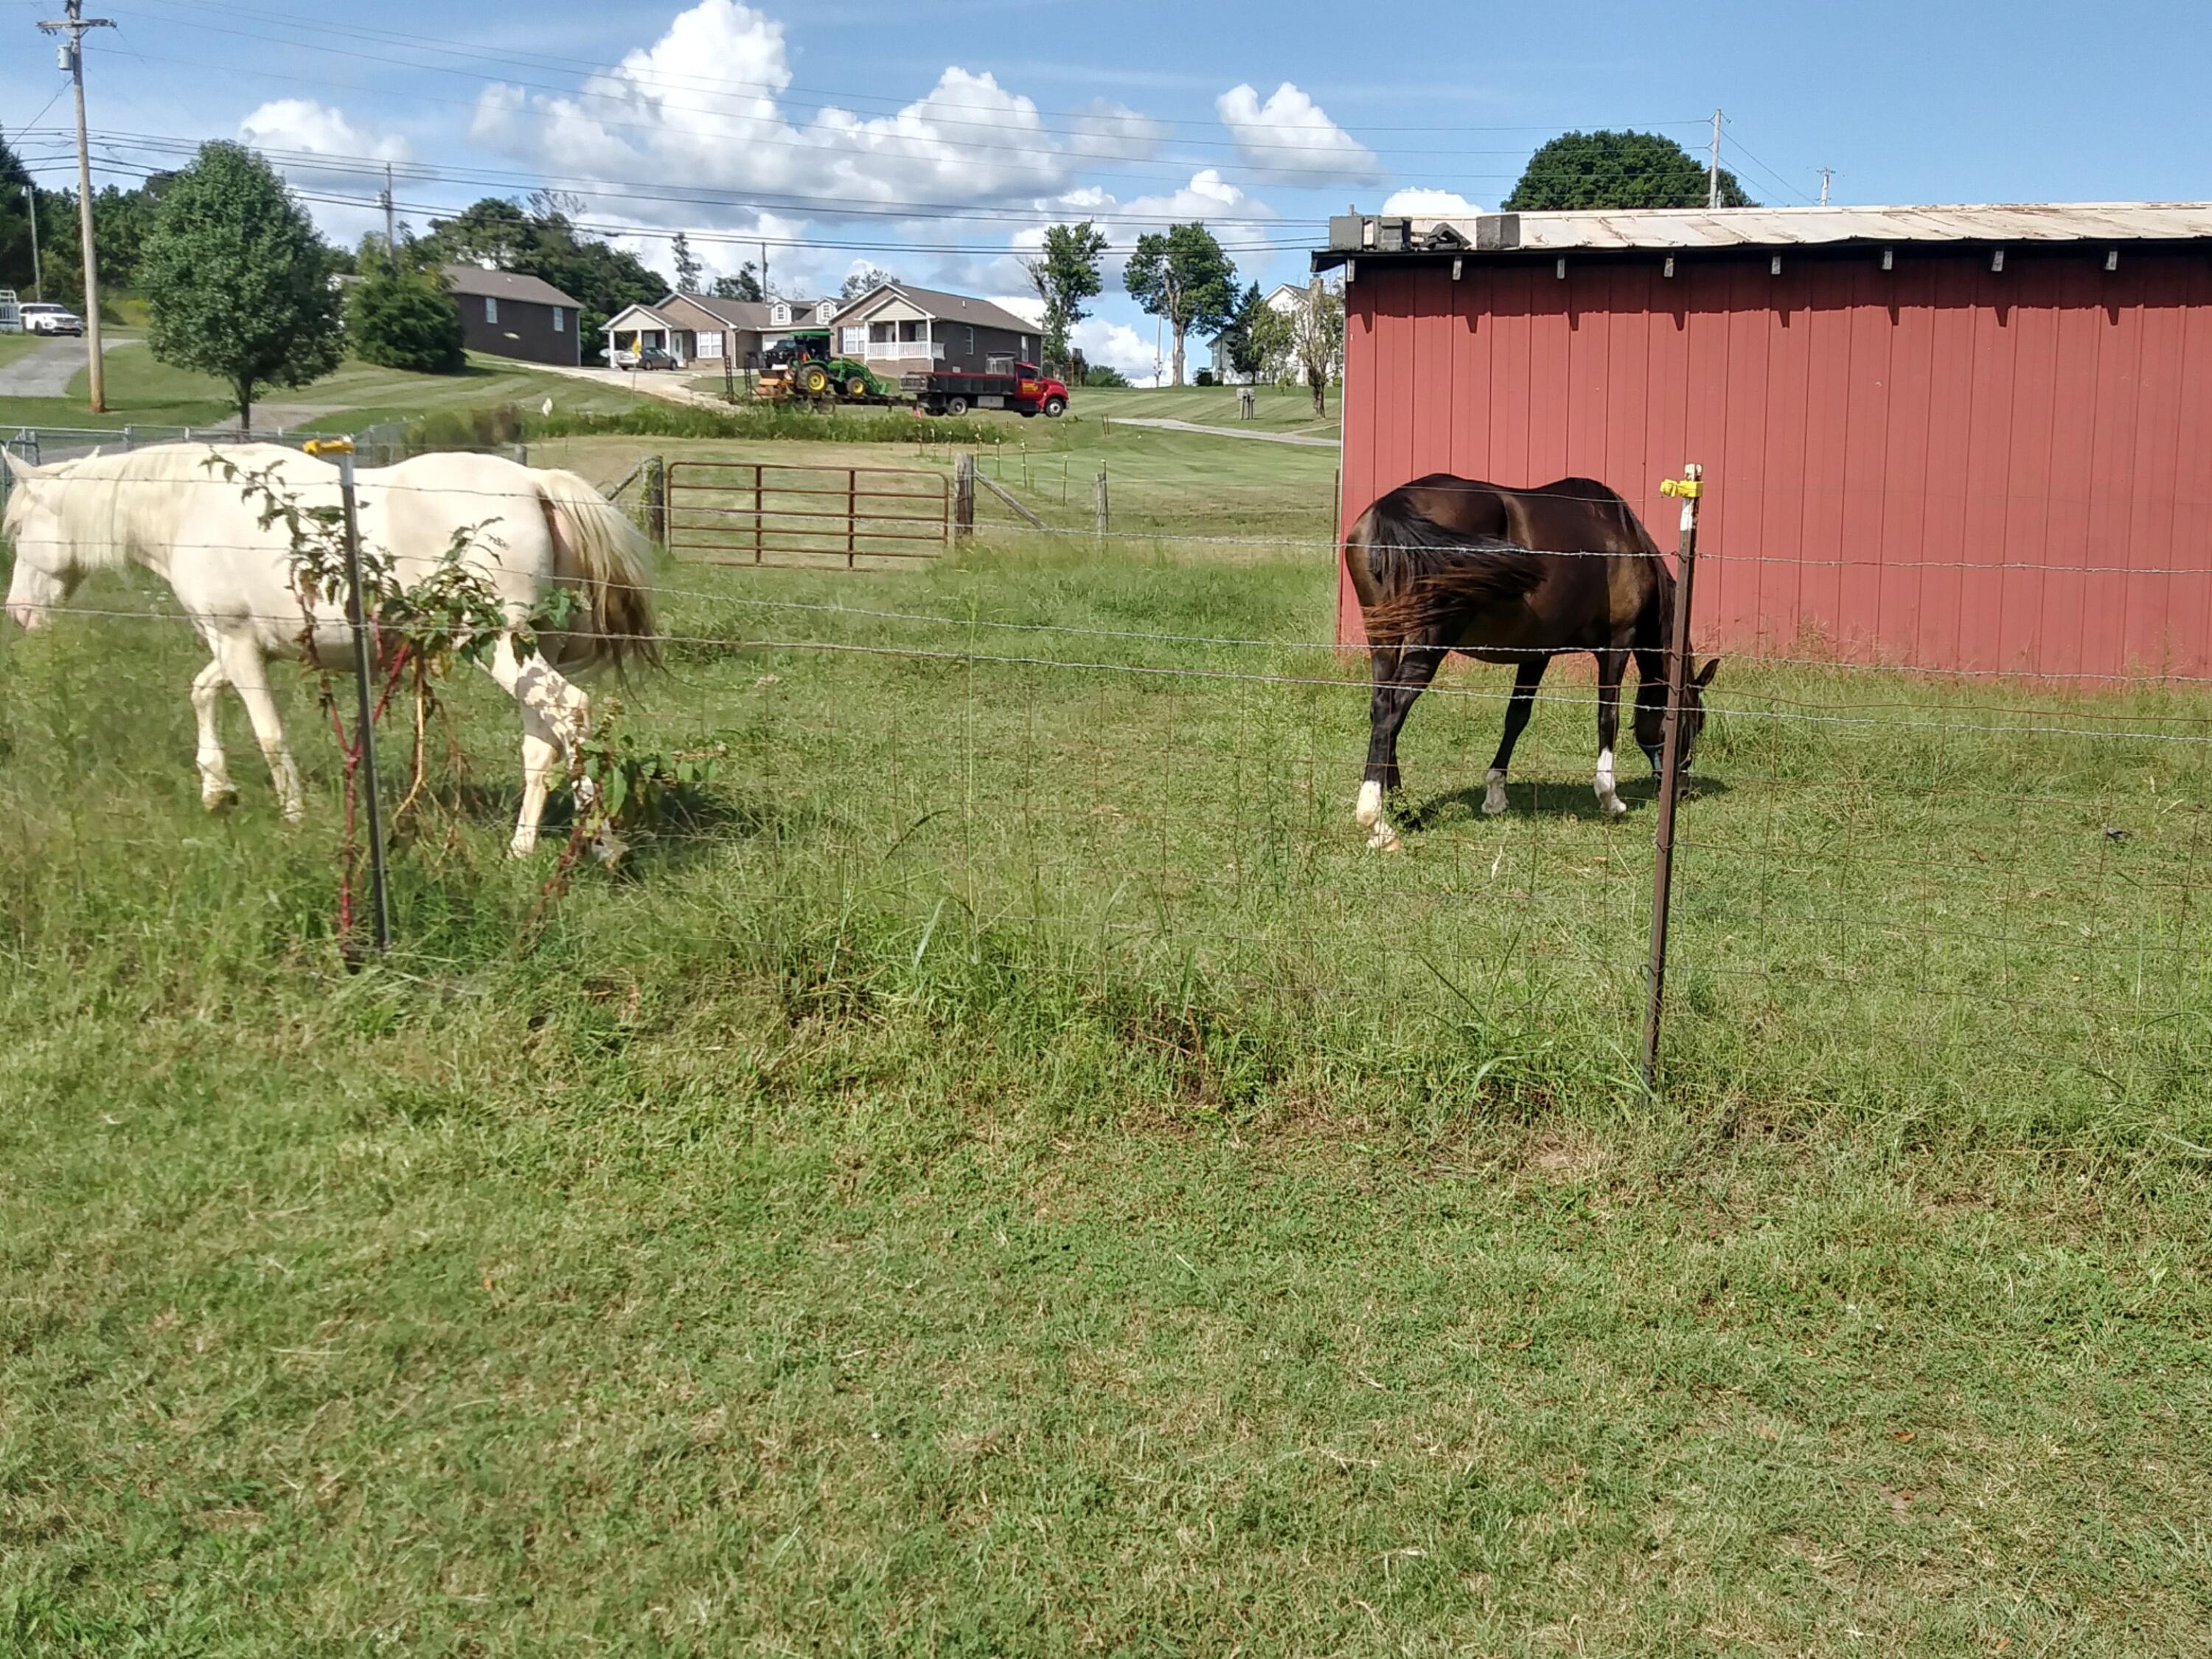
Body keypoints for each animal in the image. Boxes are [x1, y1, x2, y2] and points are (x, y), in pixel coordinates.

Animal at [3, 442, 659, 856]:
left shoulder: (236, 642)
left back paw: (602, 841)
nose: (18, 613)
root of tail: (534, 484)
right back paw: (521, 851)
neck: (190, 507)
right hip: (523, 648)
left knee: (571, 712)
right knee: (542, 744)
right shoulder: (242, 645)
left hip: (494, 643)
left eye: (16, 529)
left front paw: (291, 818)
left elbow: (268, 734)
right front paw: (216, 789)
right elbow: (201, 693)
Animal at [1344, 473, 1716, 852]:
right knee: (1393, 708)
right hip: (1430, 641)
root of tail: (1395, 504)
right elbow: (1607, 717)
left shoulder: (1537, 653)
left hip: (1385, 638)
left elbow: (1517, 716)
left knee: (1382, 708)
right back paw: (1375, 817)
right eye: (1694, 722)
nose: (1683, 789)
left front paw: (1495, 795)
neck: (1622, 541)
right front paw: (1610, 798)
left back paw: (1400, 814)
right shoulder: (1617, 644)